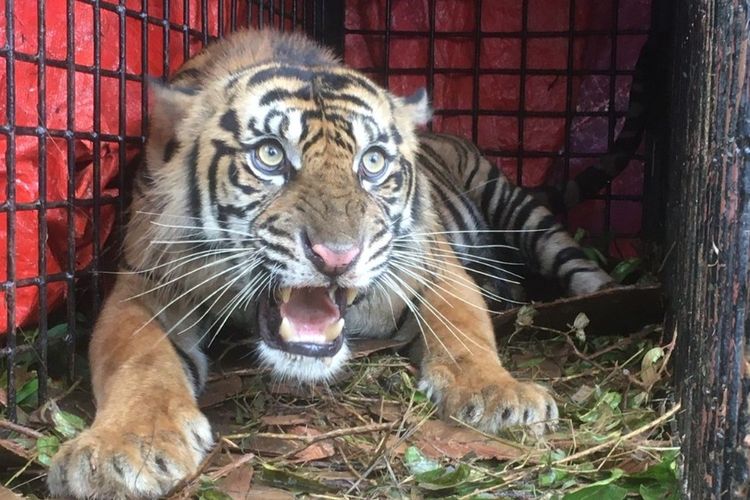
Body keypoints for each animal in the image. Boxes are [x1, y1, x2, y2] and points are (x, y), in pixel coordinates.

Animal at [47, 29, 612, 498]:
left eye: (373, 161)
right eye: (271, 155)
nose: (337, 256)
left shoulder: (432, 262)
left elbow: (465, 327)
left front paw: (501, 395)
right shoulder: (148, 280)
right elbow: (134, 356)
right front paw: (125, 448)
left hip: (517, 205)